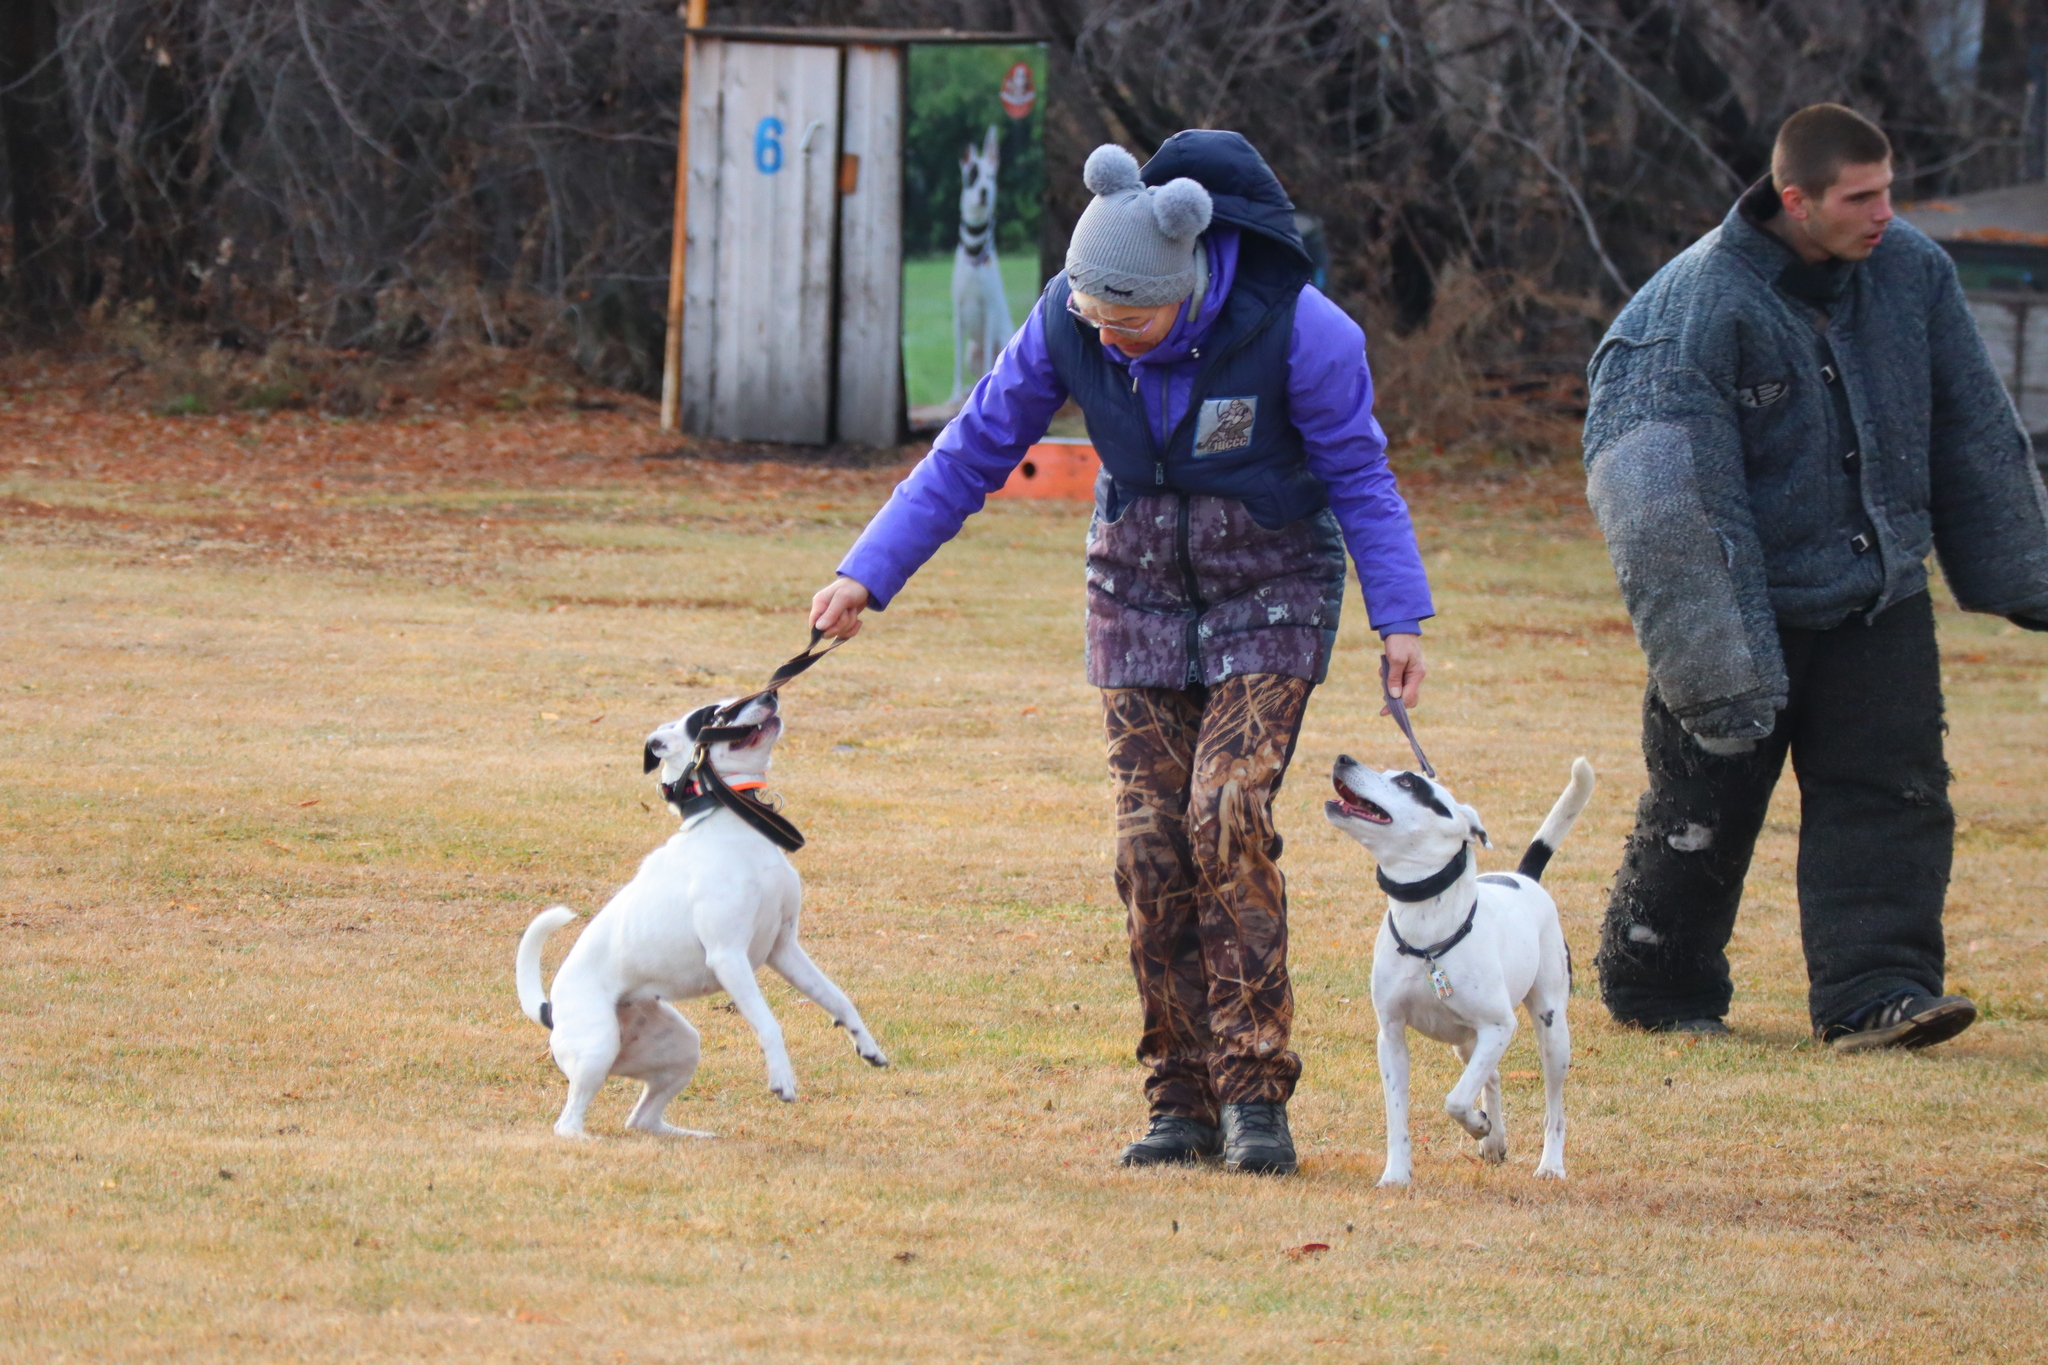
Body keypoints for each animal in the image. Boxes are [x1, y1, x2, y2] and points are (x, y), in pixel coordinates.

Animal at [516, 695, 884, 1146]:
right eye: (715, 715)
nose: (770, 696)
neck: (733, 829)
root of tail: (550, 1008)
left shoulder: (784, 950)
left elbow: (838, 999)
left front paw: (865, 1044)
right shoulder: (729, 957)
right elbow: (769, 1024)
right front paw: (782, 1078)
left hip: (680, 1048)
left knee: (643, 1119)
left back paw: (691, 1136)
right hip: (598, 1047)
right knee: (567, 1122)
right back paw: (590, 1141)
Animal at [1327, 757, 1597, 1186]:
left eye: (1408, 782)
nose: (1343, 759)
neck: (1426, 933)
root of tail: (1524, 878)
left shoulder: (1500, 1027)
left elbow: (1455, 1099)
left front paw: (1475, 1125)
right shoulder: (1391, 1036)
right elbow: (1398, 1115)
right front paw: (1397, 1174)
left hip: (1552, 1034)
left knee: (1553, 1108)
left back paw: (1550, 1164)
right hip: (1466, 1041)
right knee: (1492, 1078)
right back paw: (1494, 1140)